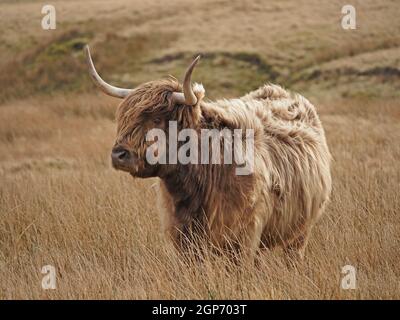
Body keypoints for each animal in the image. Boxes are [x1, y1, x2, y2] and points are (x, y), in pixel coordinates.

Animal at [84, 44, 332, 260]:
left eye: (156, 119)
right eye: (125, 118)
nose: (119, 155)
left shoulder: (244, 236)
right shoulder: (183, 237)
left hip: (301, 230)